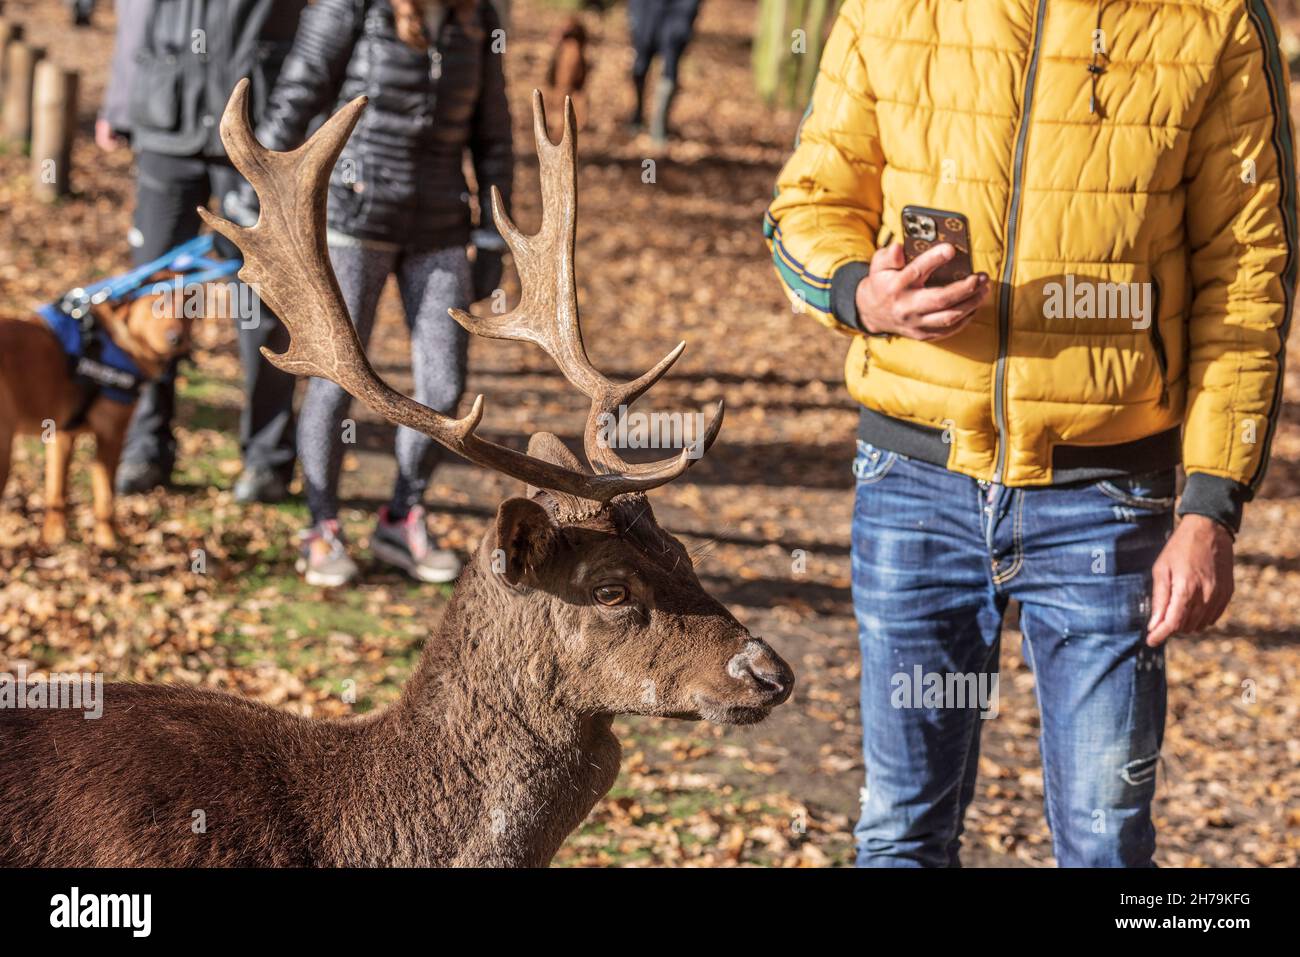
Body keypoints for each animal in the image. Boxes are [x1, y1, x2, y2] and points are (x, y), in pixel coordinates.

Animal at [0, 283, 195, 548]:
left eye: (187, 308)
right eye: (156, 305)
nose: (177, 340)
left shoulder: (62, 433)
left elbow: (57, 488)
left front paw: (54, 534)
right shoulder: (112, 435)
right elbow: (105, 494)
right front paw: (107, 539)